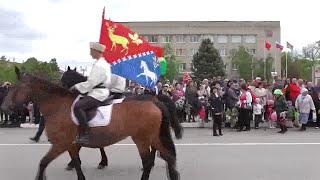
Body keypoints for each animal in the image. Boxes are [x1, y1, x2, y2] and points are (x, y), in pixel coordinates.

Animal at [0, 67, 180, 180]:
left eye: (17, 87)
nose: (4, 107)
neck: (58, 106)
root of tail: (153, 101)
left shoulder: (60, 144)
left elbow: (43, 162)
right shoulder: (70, 145)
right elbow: (77, 162)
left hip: (142, 138)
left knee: (150, 161)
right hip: (151, 137)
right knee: (166, 156)